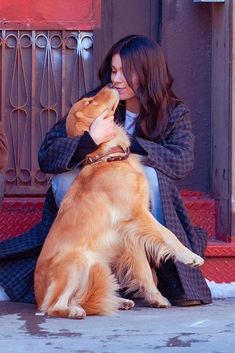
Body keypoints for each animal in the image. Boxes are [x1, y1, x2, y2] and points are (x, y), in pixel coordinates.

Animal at [34, 85, 205, 320]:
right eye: (89, 102)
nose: (110, 85)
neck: (108, 157)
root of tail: (38, 296)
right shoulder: (137, 214)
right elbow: (168, 234)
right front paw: (190, 257)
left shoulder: (130, 232)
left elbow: (143, 268)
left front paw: (156, 297)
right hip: (76, 263)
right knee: (53, 306)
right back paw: (74, 311)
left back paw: (118, 301)